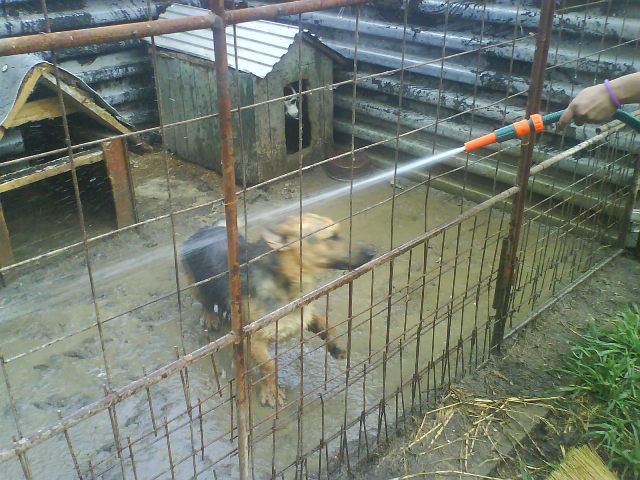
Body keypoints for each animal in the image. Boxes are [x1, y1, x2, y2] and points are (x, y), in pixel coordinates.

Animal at [182, 213, 375, 407]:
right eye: (332, 237)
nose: (372, 251)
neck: (285, 279)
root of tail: (204, 229)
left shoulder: (302, 313)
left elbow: (326, 323)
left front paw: (336, 345)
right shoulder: (252, 338)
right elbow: (269, 366)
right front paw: (271, 392)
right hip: (195, 285)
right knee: (204, 300)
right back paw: (210, 317)